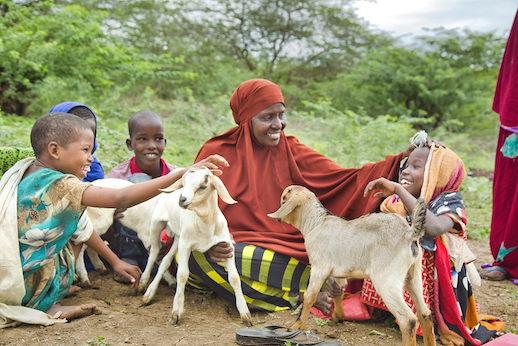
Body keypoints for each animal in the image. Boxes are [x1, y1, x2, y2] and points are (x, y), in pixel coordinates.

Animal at [144, 166, 254, 326]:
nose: (182, 199)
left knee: (165, 260)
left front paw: (245, 314)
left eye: (203, 186)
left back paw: (151, 290)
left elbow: (234, 278)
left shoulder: (226, 245)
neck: (205, 224)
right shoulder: (185, 246)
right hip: (156, 223)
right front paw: (176, 312)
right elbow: (182, 275)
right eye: (183, 184)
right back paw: (143, 286)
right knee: (154, 252)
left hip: (178, 236)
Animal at [270, 185, 436, 346]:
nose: (277, 214)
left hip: (387, 279)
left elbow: (309, 297)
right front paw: (338, 316)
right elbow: (338, 291)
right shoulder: (338, 271)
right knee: (425, 313)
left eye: (283, 199)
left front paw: (297, 328)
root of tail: (409, 233)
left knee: (408, 320)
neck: (316, 223)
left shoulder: (319, 267)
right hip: (414, 275)